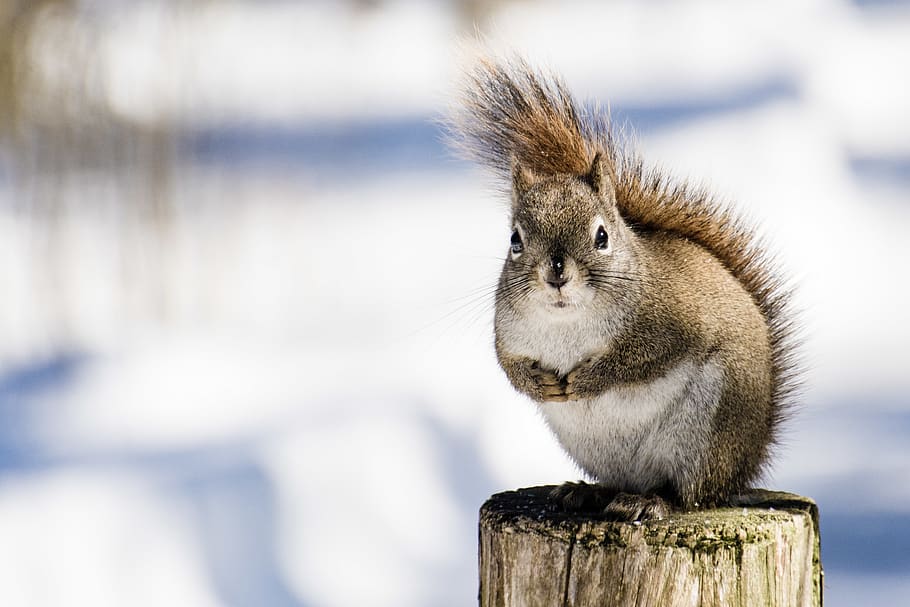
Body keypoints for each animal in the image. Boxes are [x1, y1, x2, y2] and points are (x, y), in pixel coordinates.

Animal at [450, 57, 800, 522]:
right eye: (515, 239)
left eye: (602, 236)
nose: (556, 272)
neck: (567, 321)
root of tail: (744, 465)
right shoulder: (507, 333)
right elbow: (508, 366)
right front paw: (539, 384)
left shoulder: (673, 324)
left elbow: (641, 360)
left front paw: (588, 380)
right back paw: (587, 492)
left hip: (708, 433)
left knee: (688, 493)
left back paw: (651, 500)